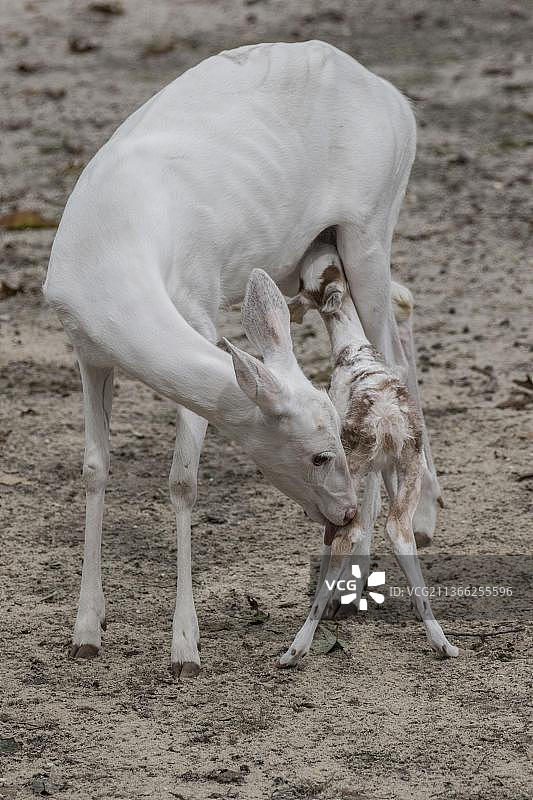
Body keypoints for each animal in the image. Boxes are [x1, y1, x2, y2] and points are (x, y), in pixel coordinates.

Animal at [279, 242, 458, 666]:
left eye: (305, 279)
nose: (323, 242)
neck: (354, 350)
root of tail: (387, 420)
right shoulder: (391, 471)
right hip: (409, 469)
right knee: (399, 534)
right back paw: (441, 642)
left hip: (352, 472)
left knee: (350, 532)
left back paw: (295, 649)